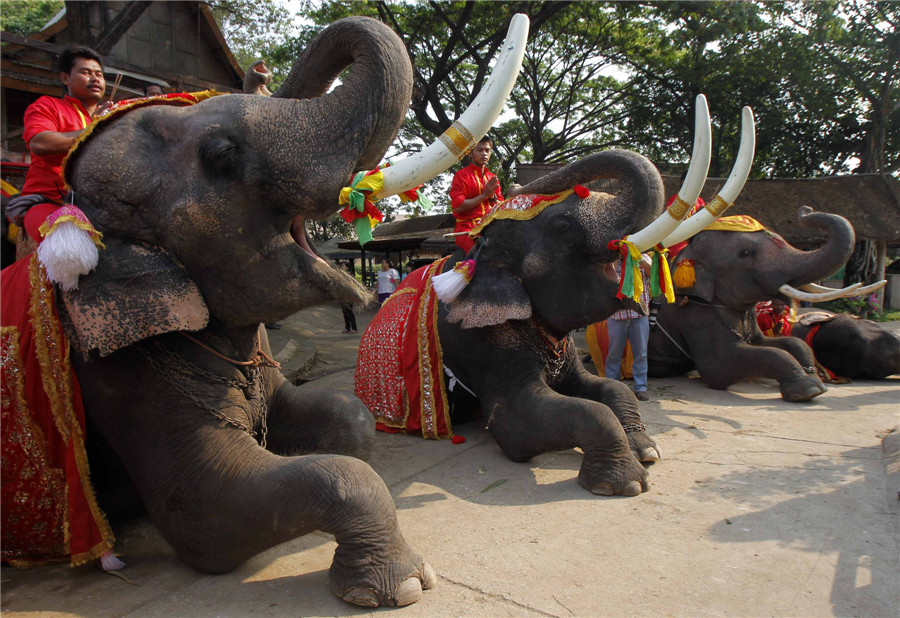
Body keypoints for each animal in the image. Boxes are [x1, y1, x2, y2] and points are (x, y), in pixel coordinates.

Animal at [0, 15, 529, 607]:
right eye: (221, 156)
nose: (259, 70)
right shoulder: (117, 368)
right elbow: (208, 516)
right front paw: (406, 584)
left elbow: (349, 422)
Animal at [647, 206, 858, 401]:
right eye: (746, 252)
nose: (806, 210)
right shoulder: (694, 315)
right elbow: (719, 366)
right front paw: (808, 391)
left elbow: (788, 342)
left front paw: (818, 383)